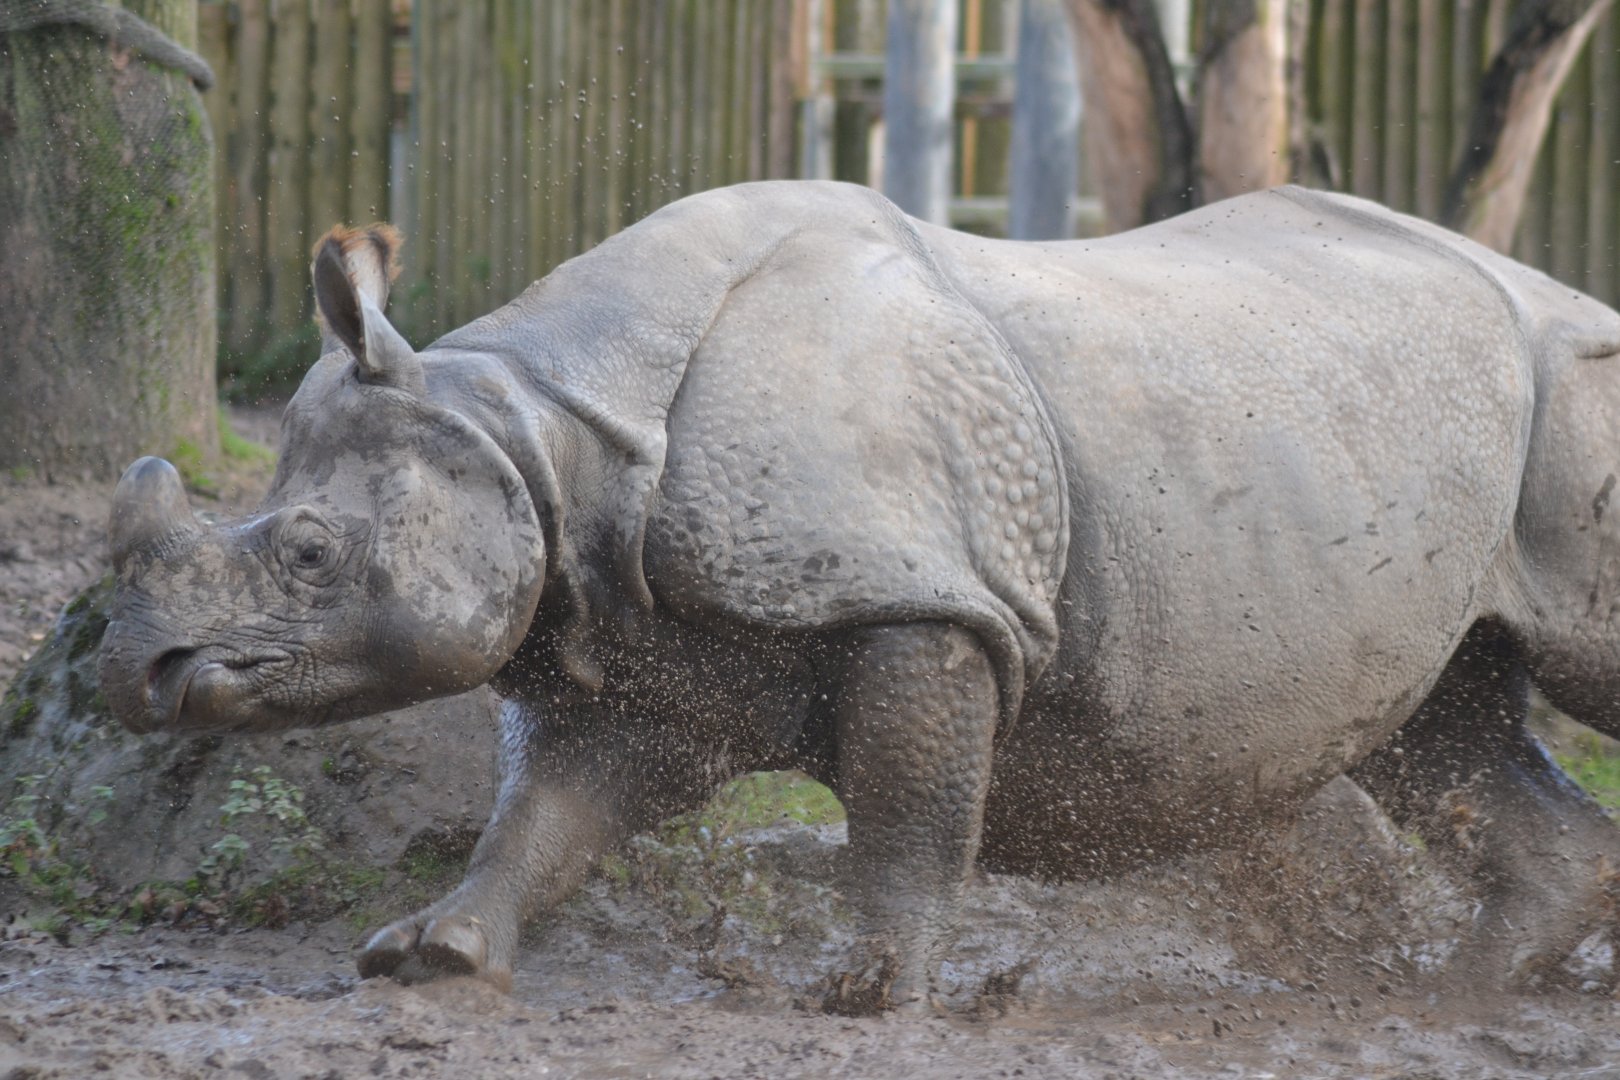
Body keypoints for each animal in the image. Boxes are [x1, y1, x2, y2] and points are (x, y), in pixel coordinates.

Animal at [100, 182, 1620, 1009]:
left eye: (308, 555)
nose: (135, 675)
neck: (535, 423)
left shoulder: (923, 601)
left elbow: (908, 808)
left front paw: (871, 998)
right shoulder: (646, 652)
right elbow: (547, 813)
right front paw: (431, 957)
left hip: (1573, 390)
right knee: (1446, 721)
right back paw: (1455, 995)